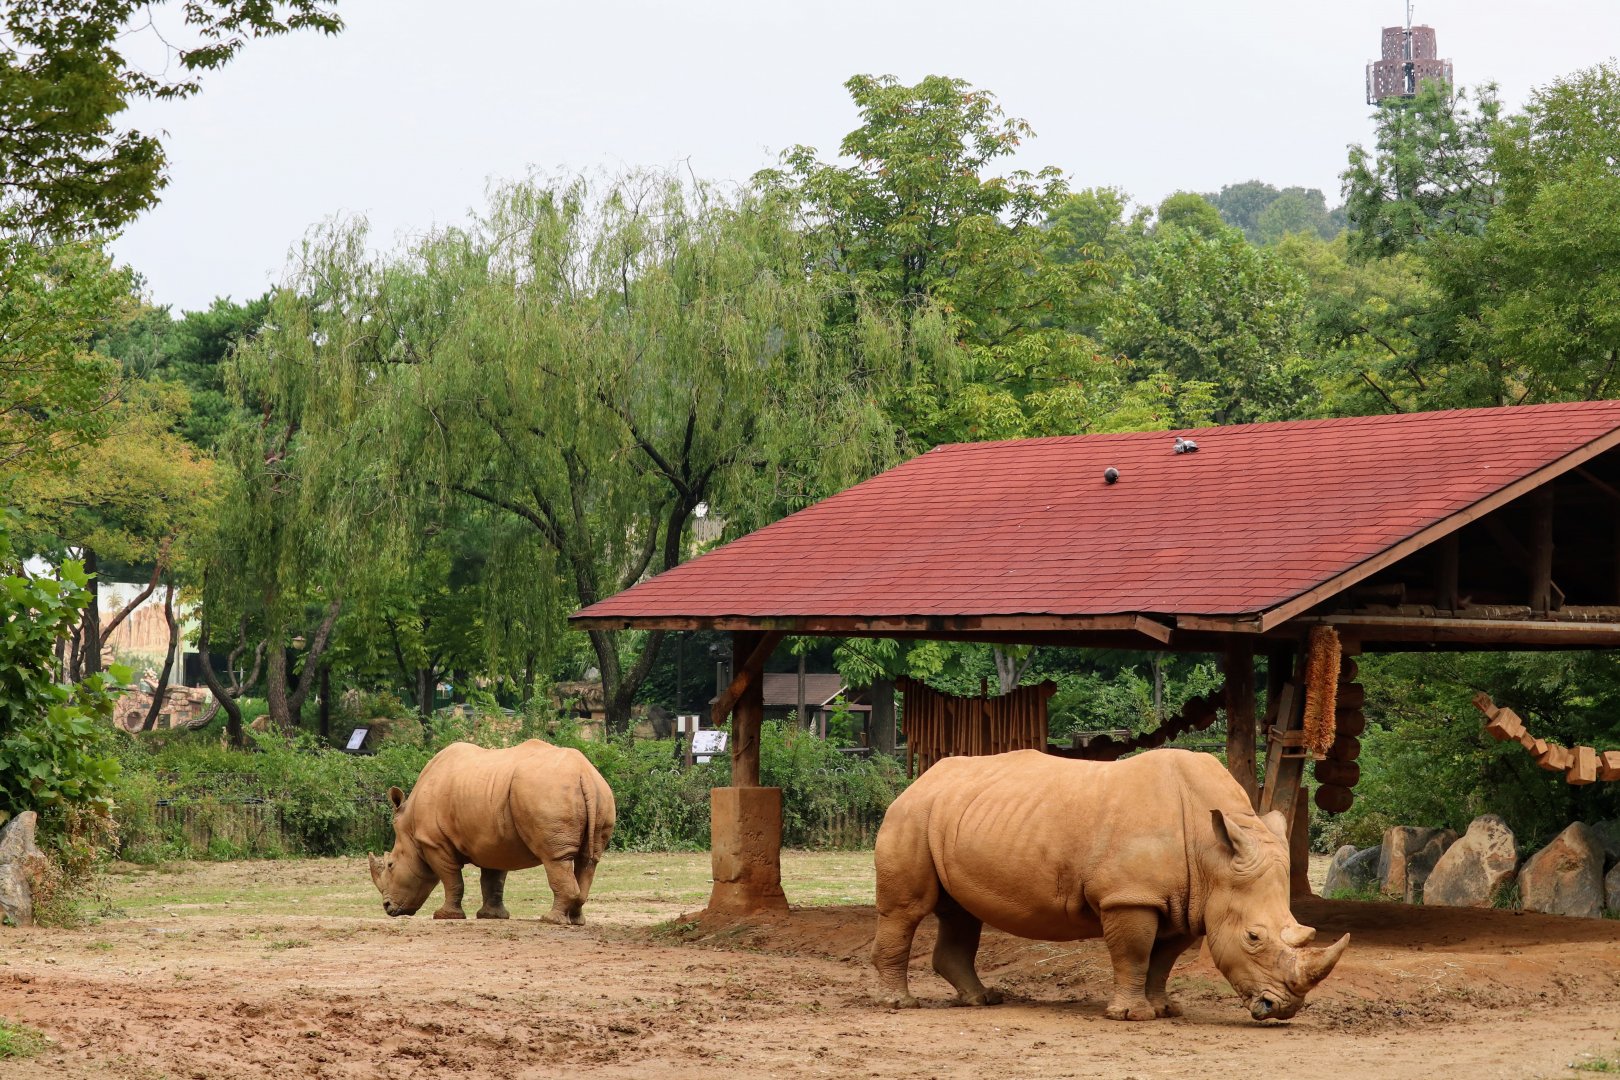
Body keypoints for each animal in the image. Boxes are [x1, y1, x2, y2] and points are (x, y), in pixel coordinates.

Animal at [369, 740, 615, 925]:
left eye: (390, 865)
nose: (387, 907)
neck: (410, 830)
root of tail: (584, 773)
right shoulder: (494, 841)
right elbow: (493, 880)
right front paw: (491, 917)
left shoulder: (434, 843)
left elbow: (451, 879)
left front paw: (444, 916)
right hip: (601, 792)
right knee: (588, 860)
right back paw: (577, 921)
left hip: (548, 791)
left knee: (555, 858)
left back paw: (550, 920)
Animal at [872, 748, 1348, 1022]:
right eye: (1253, 937)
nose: (1282, 1009)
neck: (1212, 856)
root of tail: (920, 779)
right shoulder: (1131, 896)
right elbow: (1134, 953)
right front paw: (1132, 1016)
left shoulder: (1186, 901)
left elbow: (1163, 959)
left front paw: (1165, 1009)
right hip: (911, 814)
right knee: (907, 911)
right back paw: (901, 1006)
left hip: (953, 813)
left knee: (961, 914)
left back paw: (983, 1000)